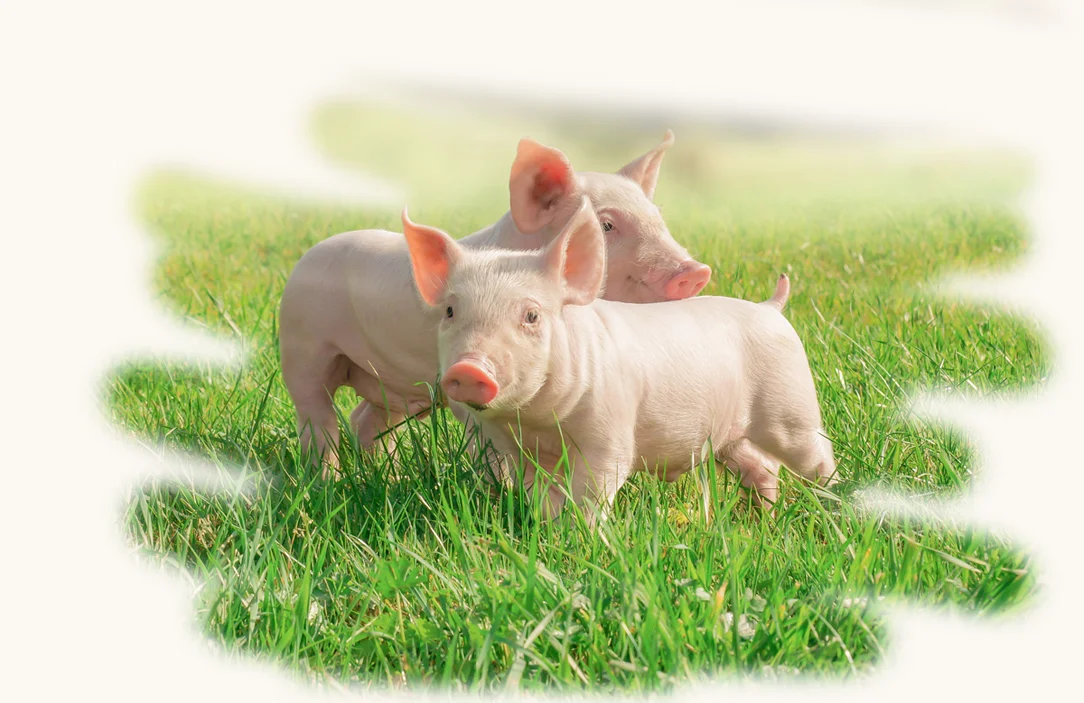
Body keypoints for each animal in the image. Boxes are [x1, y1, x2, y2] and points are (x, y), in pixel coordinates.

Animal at [279, 131, 711, 468]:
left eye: (659, 217)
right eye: (606, 225)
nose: (696, 271)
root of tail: (306, 257)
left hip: (391, 384)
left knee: (365, 418)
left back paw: (389, 475)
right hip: (301, 345)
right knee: (316, 416)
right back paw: (326, 481)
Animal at [401, 197, 837, 523]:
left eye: (531, 315)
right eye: (450, 311)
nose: (468, 368)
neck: (541, 423)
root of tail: (771, 307)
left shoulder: (608, 433)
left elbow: (592, 491)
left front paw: (581, 537)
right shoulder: (517, 449)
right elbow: (540, 495)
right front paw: (547, 529)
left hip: (791, 409)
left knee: (815, 454)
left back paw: (836, 507)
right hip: (731, 435)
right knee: (761, 467)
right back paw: (761, 519)